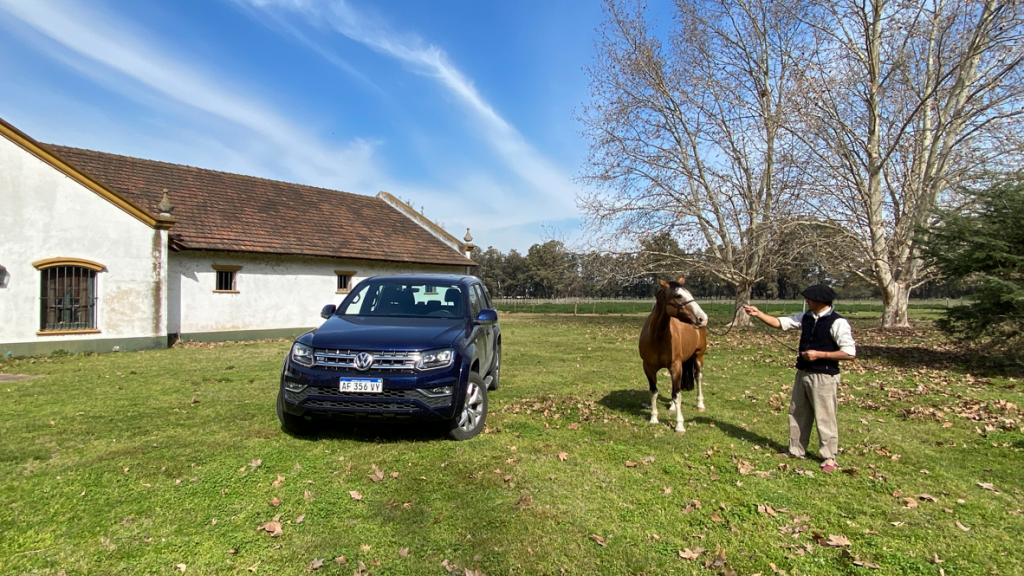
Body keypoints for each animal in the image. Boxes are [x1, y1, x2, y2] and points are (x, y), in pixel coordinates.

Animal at [634, 276, 708, 430]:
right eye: (678, 295)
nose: (703, 318)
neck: (657, 336)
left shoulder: (676, 366)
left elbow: (677, 394)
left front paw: (679, 425)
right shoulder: (648, 368)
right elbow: (654, 392)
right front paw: (654, 418)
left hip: (698, 357)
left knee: (698, 377)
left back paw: (700, 404)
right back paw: (673, 407)